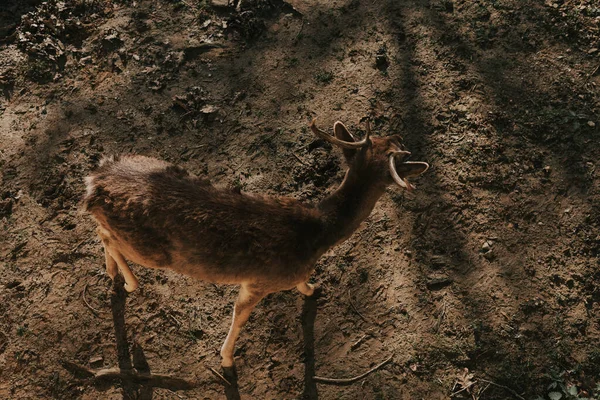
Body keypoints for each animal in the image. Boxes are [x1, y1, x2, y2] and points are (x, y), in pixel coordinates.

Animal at [84, 117, 428, 368]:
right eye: (397, 151)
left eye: (387, 140)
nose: (400, 135)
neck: (317, 236)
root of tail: (94, 179)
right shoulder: (260, 281)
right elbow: (241, 313)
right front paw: (226, 359)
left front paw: (311, 288)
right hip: (146, 249)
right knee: (106, 236)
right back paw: (127, 281)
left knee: (103, 234)